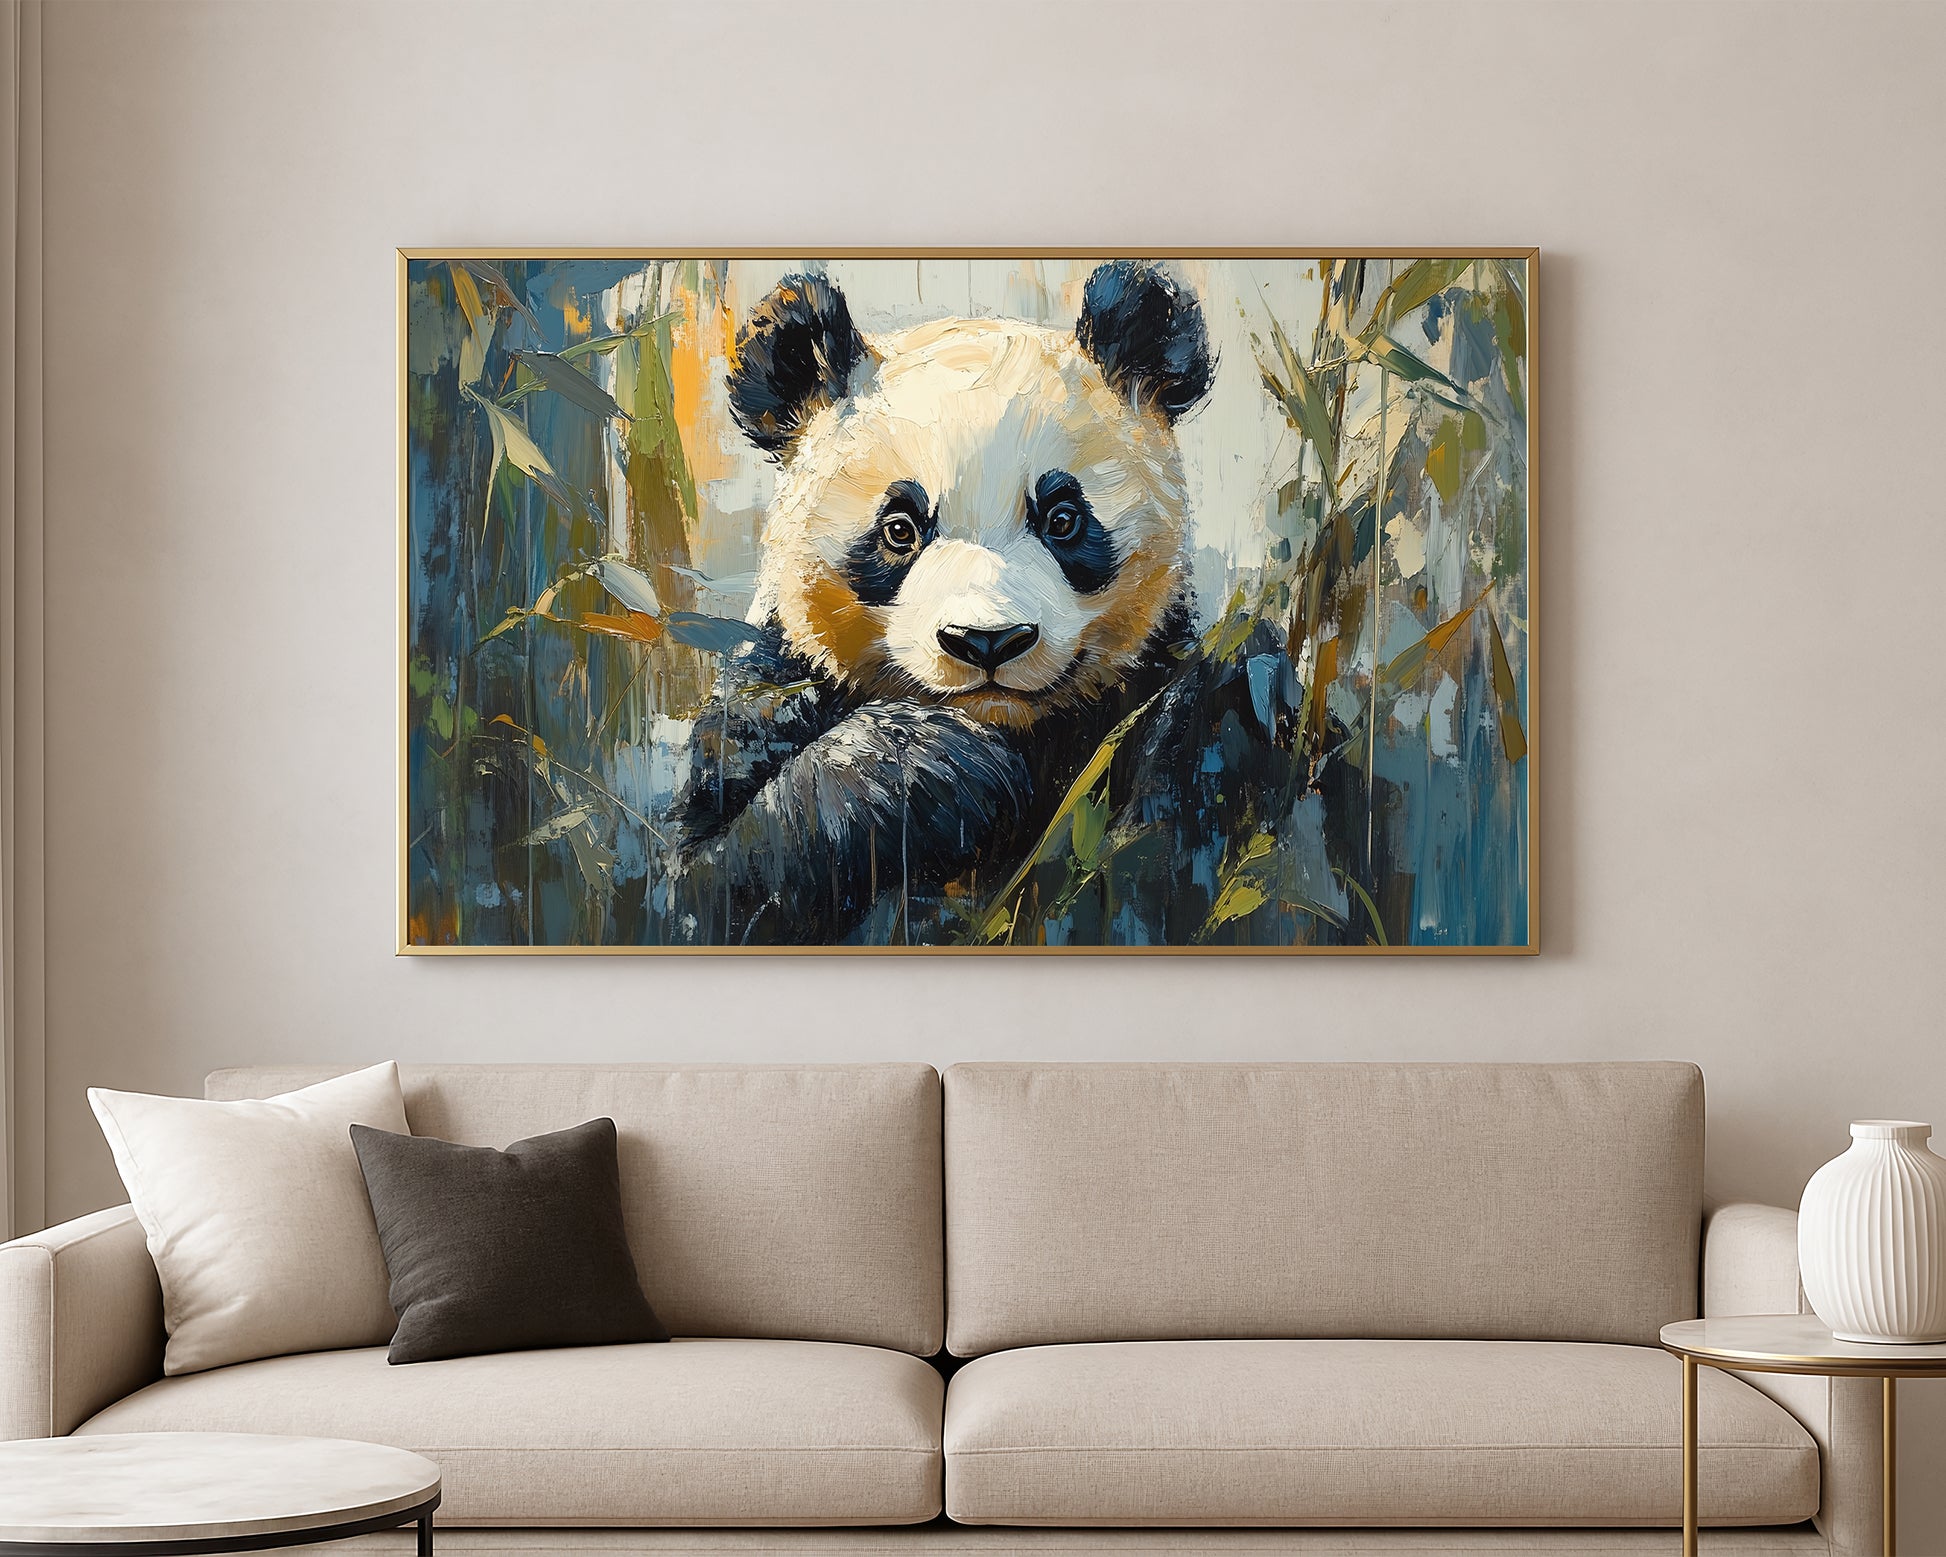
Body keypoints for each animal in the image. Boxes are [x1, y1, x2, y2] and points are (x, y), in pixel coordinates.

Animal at [668, 261, 1283, 945]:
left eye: (1063, 519)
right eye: (900, 529)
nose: (988, 641)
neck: (1014, 726)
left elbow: (1163, 866)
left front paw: (1240, 688)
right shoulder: (768, 693)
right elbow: (717, 878)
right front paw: (944, 763)